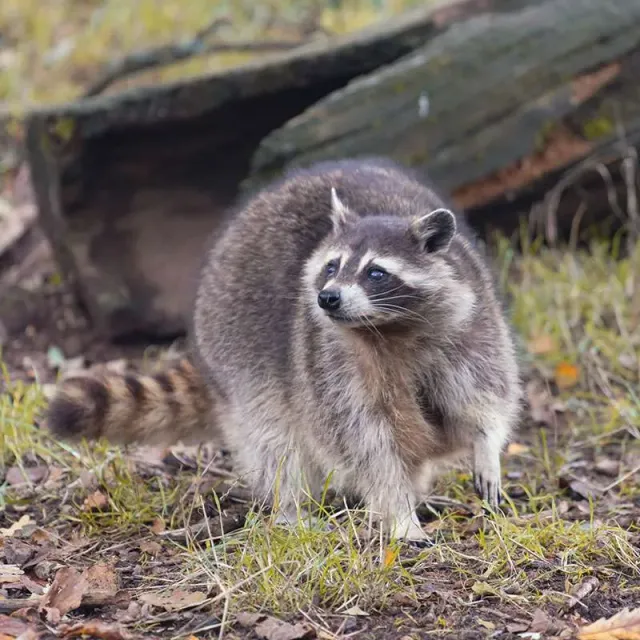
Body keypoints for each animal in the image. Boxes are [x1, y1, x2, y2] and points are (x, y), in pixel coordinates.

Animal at [45, 158, 521, 542]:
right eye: (331, 266)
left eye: (376, 273)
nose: (327, 298)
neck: (387, 329)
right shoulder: (330, 365)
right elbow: (368, 444)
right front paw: (397, 512)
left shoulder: (471, 327)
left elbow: (487, 399)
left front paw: (486, 448)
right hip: (236, 350)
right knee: (275, 439)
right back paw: (293, 509)